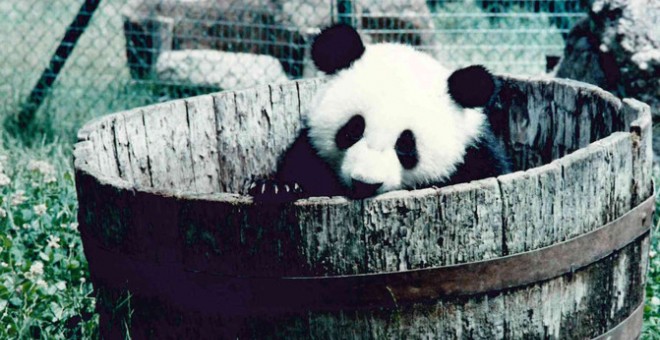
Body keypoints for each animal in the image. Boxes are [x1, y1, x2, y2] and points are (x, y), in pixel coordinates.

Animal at [250, 24, 512, 202]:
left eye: (406, 145)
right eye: (353, 130)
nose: (364, 184)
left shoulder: (477, 155)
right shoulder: (310, 148)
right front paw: (276, 188)